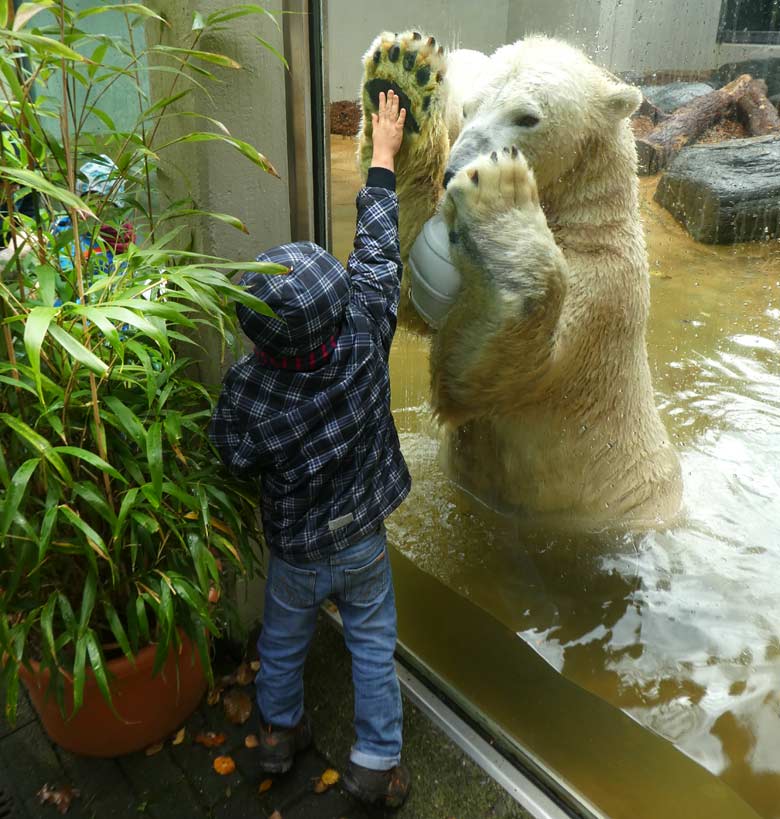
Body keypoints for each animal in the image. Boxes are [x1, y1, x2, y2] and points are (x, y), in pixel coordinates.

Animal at [356, 30, 680, 524]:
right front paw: (403, 77)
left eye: (527, 117)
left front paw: (500, 194)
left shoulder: (605, 292)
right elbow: (409, 290)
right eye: (468, 108)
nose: (454, 171)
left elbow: (496, 373)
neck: (580, 217)